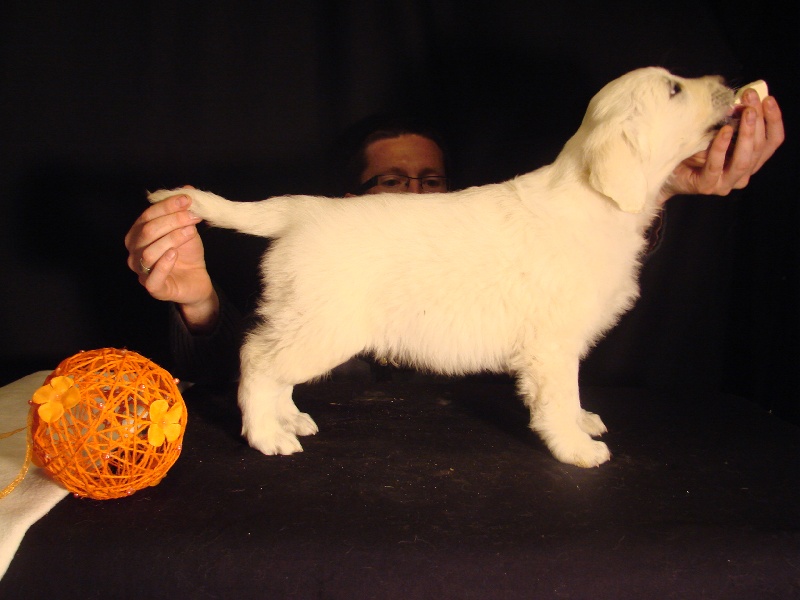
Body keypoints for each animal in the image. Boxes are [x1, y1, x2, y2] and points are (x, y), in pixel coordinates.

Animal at [149, 67, 734, 467]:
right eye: (675, 89)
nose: (727, 81)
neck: (595, 198)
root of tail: (302, 210)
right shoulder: (552, 345)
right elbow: (559, 396)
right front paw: (574, 447)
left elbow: (571, 395)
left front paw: (583, 423)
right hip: (325, 325)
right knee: (256, 361)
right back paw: (266, 434)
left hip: (306, 320)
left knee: (274, 367)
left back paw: (287, 417)